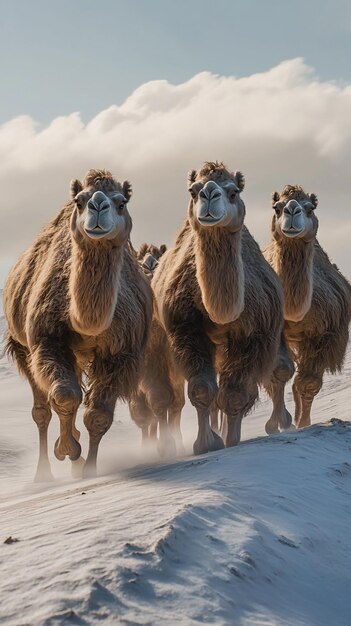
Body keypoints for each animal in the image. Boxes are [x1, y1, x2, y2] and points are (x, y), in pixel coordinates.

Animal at [3, 167, 153, 478]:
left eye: (122, 202)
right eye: (80, 201)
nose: (97, 206)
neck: (87, 323)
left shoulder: (122, 352)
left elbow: (98, 415)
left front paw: (88, 468)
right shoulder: (47, 340)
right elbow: (64, 396)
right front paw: (67, 450)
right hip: (22, 346)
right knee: (42, 409)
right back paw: (43, 474)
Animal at [153, 162, 284, 454]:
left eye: (234, 192)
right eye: (193, 190)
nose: (209, 195)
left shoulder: (252, 335)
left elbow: (235, 395)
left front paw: (230, 439)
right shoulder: (186, 330)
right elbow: (202, 390)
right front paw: (205, 443)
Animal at [264, 185, 351, 428]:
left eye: (310, 208)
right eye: (277, 207)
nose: (292, 211)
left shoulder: (324, 334)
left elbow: (308, 383)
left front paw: (302, 423)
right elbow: (279, 372)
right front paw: (277, 424)